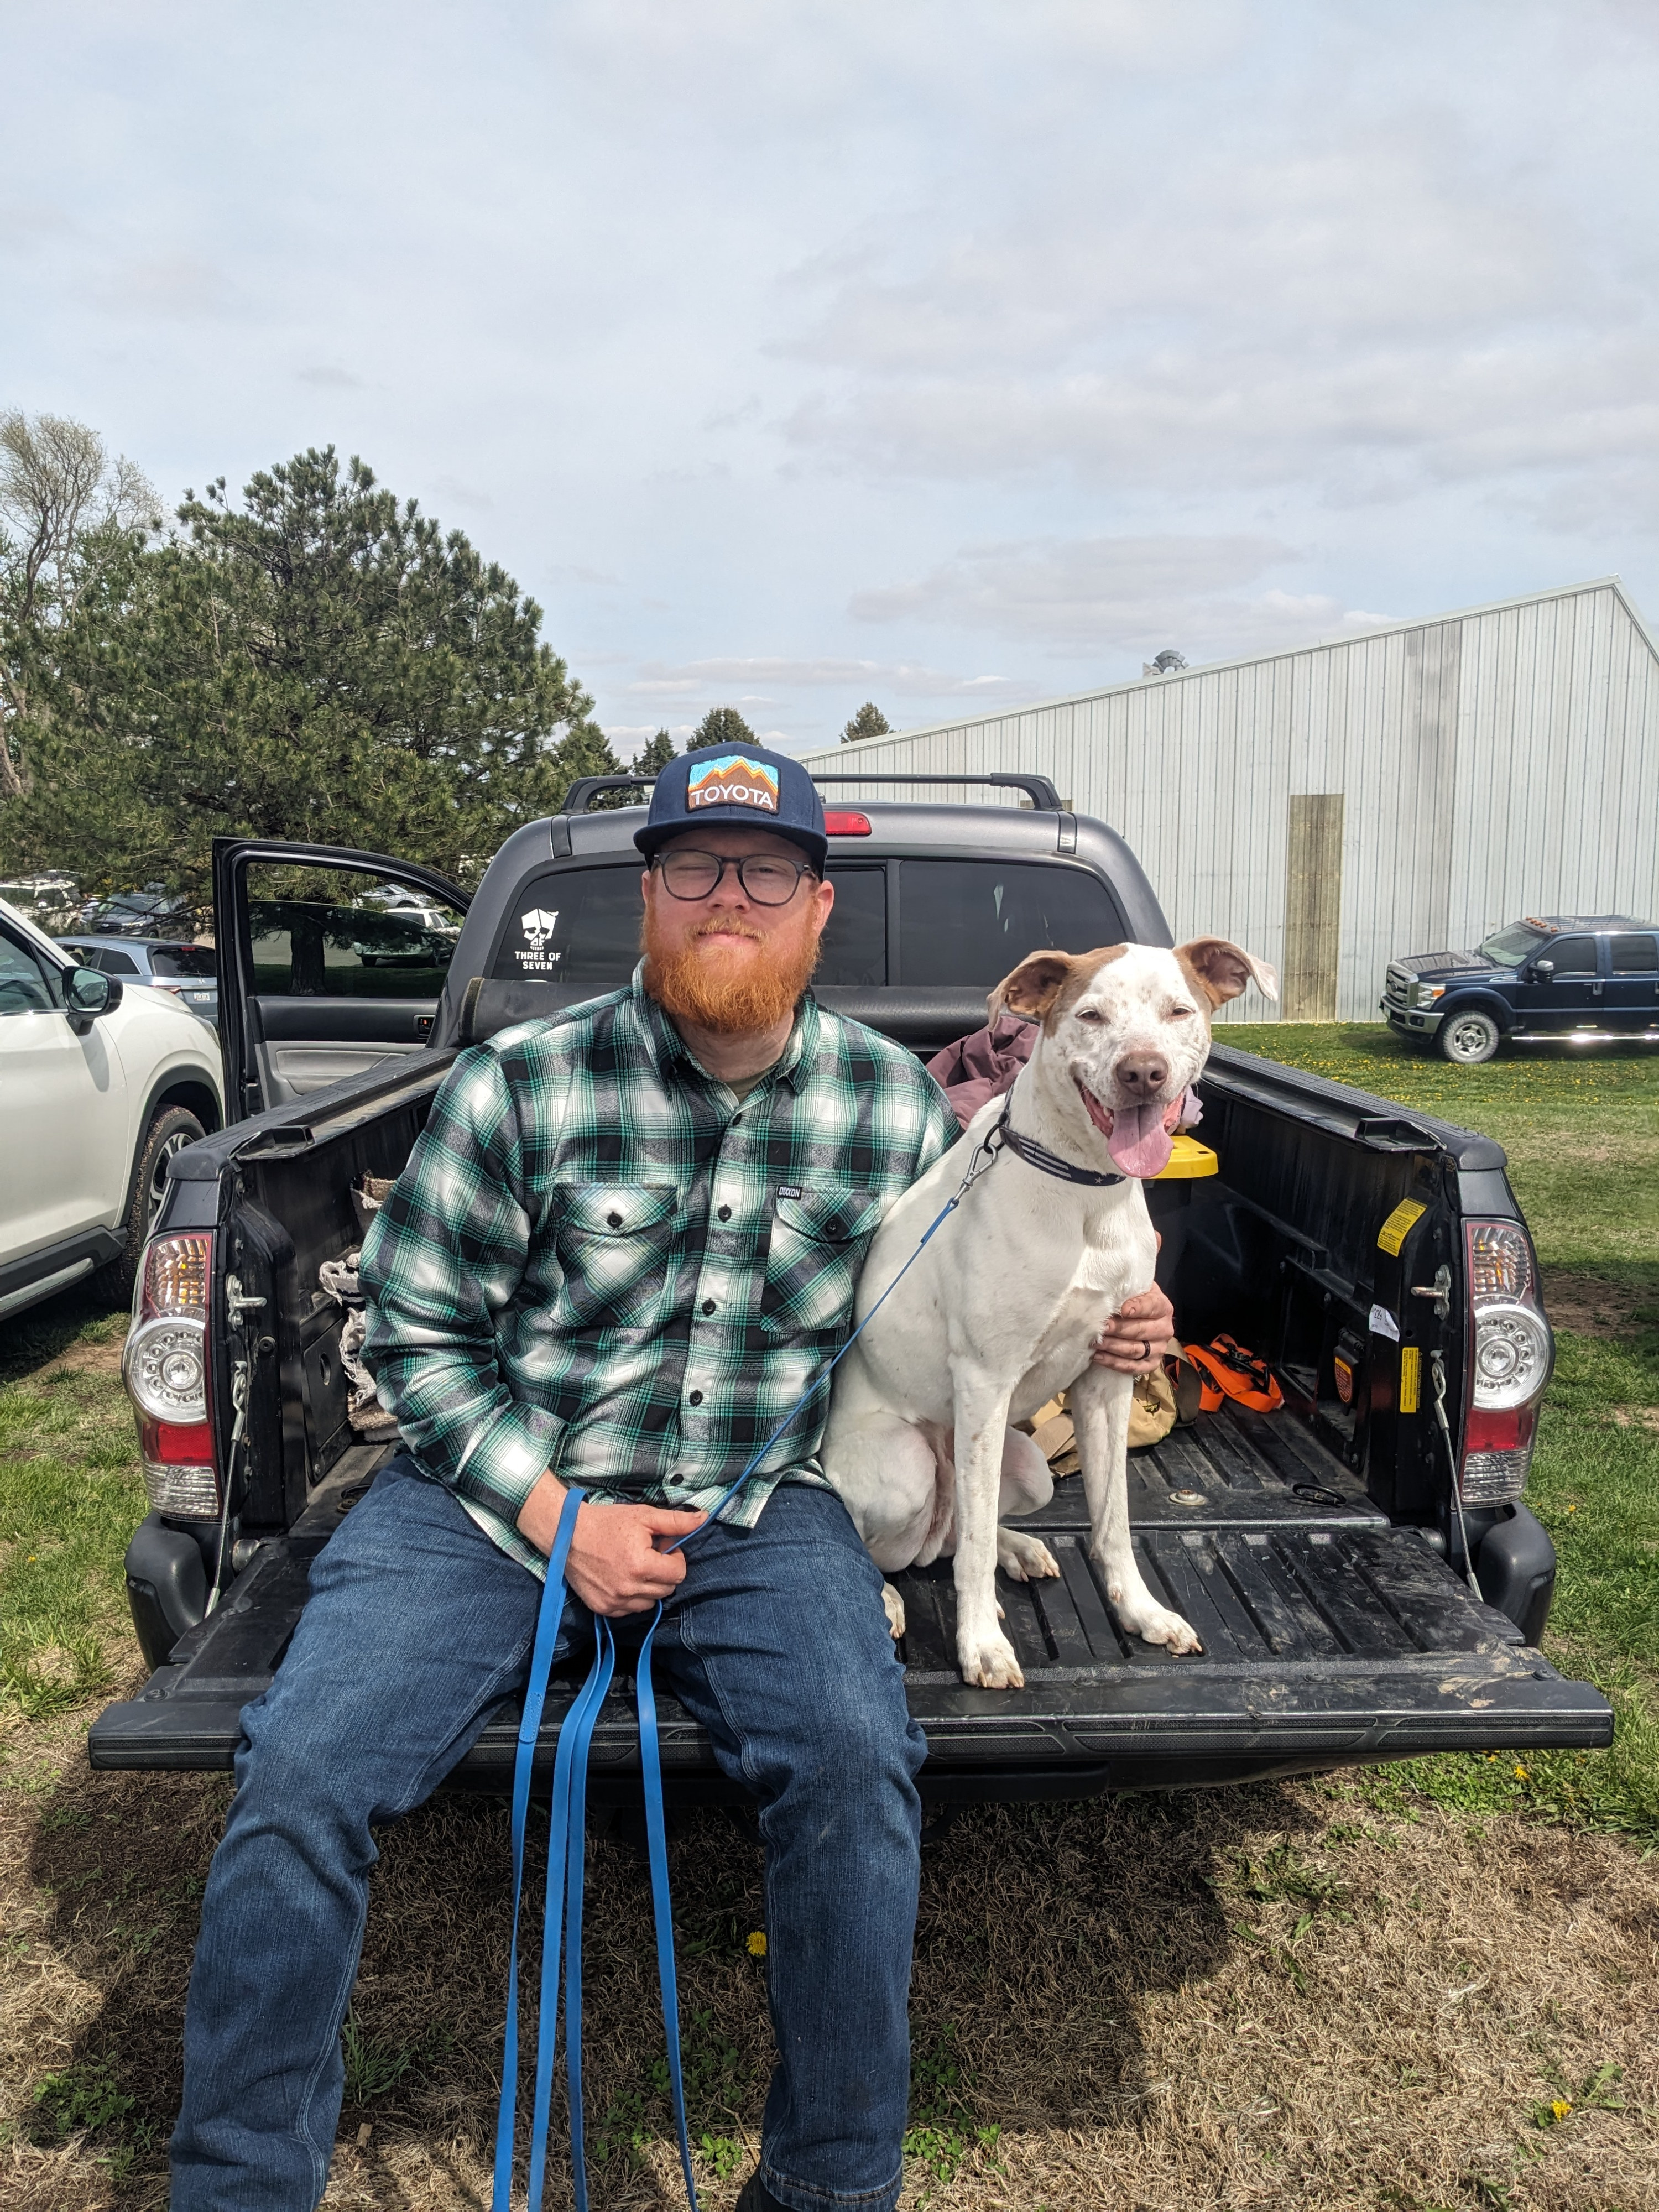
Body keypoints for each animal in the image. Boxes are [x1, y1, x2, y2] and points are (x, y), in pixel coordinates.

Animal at [822, 938, 1277, 1690]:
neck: (1085, 1189)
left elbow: (1112, 1520)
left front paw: (1141, 1612)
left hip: (1027, 1466)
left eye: (1179, 1010)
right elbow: (972, 1553)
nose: (1143, 1072)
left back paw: (1017, 1547)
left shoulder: (1107, 1377)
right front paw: (981, 1645)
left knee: (959, 1532)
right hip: (907, 1465)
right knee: (908, 1542)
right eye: (1090, 1015)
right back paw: (886, 1593)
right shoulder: (984, 1379)